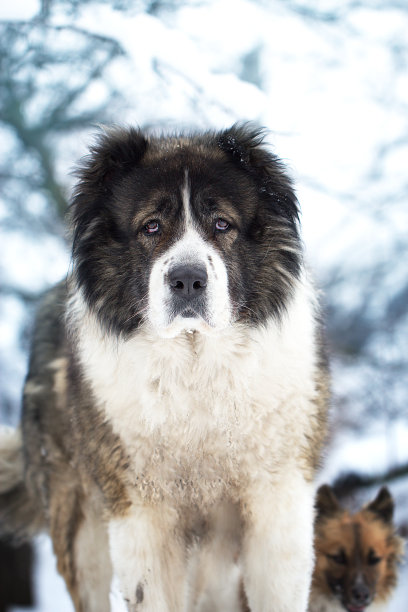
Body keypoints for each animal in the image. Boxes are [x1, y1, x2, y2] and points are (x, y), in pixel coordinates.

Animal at [0, 125, 328, 612]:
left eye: (222, 225)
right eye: (151, 226)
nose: (188, 280)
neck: (195, 366)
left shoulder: (277, 507)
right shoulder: (140, 518)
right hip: (81, 527)